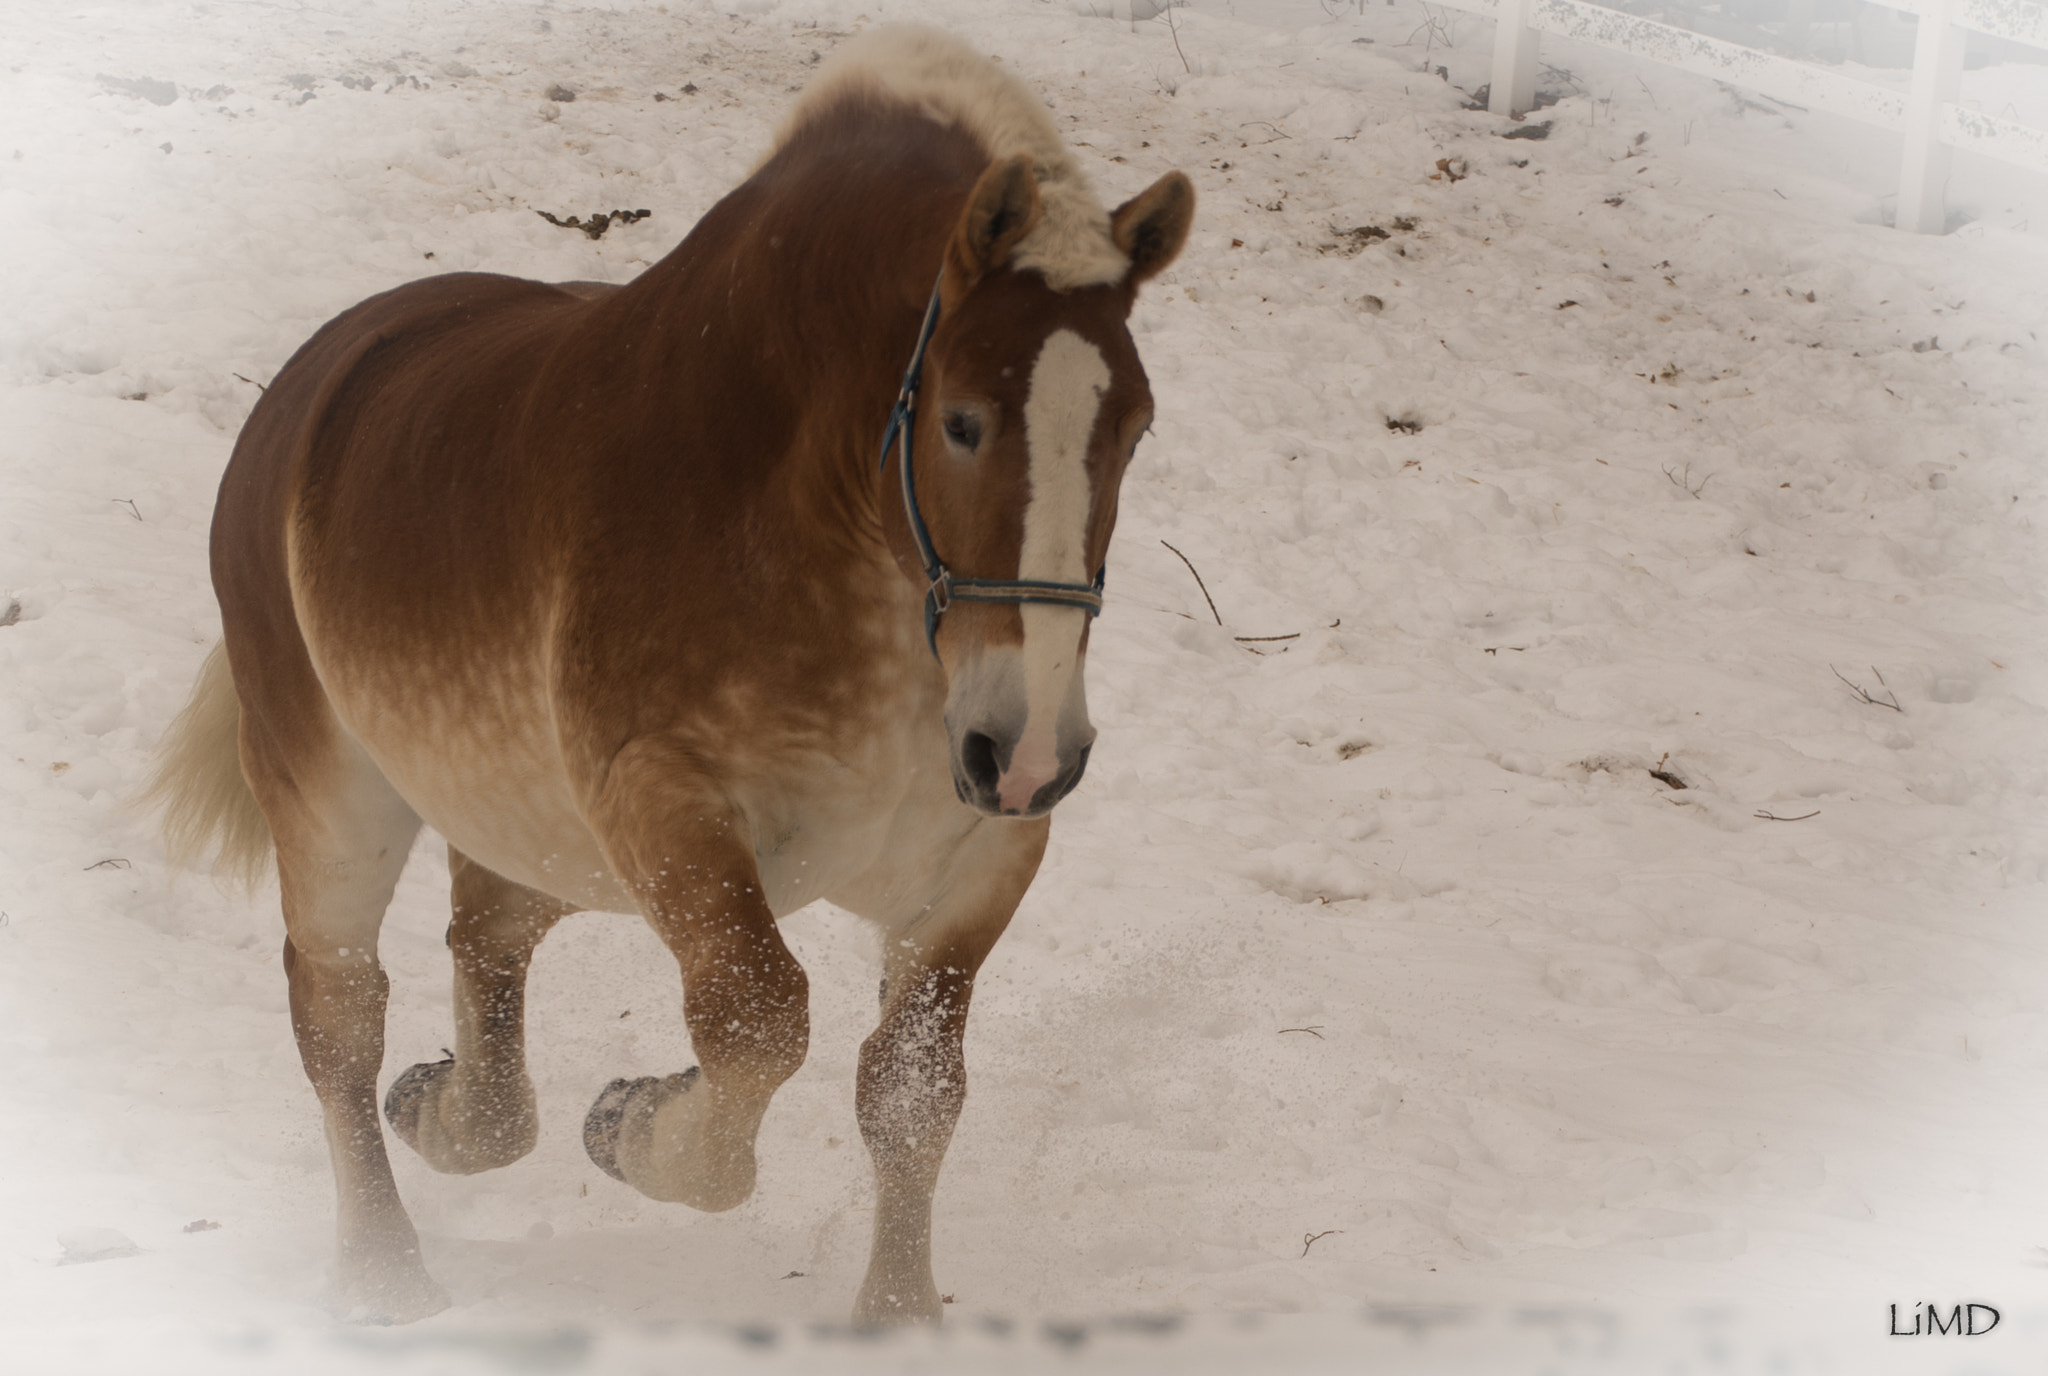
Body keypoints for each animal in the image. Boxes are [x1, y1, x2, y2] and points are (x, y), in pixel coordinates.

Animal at [148, 25, 1193, 1326]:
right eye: (959, 421)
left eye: (1133, 428)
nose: (1030, 748)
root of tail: (299, 401)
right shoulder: (664, 803)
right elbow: (757, 1019)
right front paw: (638, 1125)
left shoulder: (976, 859)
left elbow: (910, 1093)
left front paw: (894, 1319)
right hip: (337, 795)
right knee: (338, 1013)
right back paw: (385, 1272)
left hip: (538, 828)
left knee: (487, 933)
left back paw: (450, 1111)